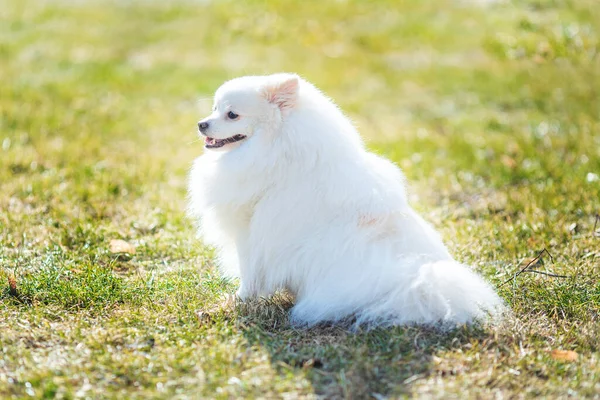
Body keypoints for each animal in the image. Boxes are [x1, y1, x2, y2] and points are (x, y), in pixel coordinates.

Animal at [186, 72, 502, 328]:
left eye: (232, 115)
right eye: (214, 109)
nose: (201, 124)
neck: (276, 148)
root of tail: (419, 279)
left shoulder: (251, 231)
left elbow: (249, 274)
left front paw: (237, 301)